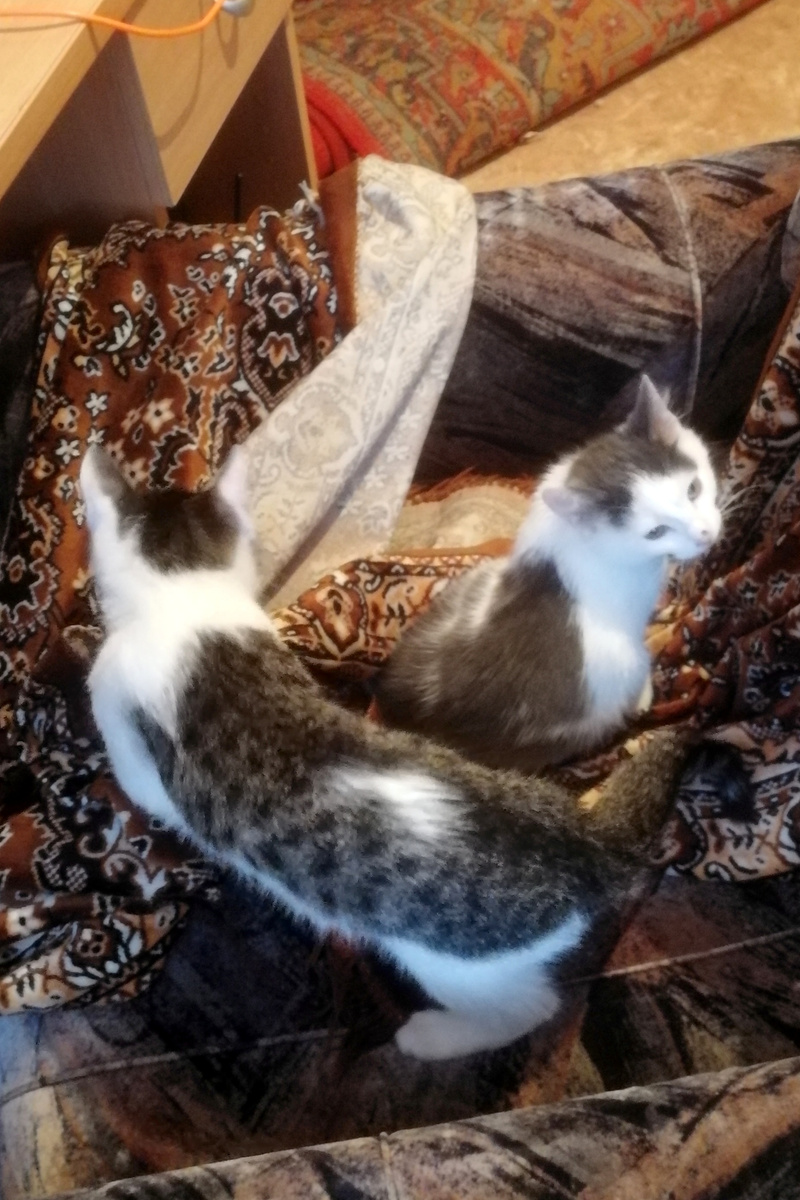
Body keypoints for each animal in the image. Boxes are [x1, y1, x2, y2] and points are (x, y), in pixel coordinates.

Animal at [81, 442, 703, 1062]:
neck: (183, 597)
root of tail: (589, 841)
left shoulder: (132, 734)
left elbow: (140, 783)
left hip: (460, 966)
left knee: (530, 1008)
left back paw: (428, 1038)